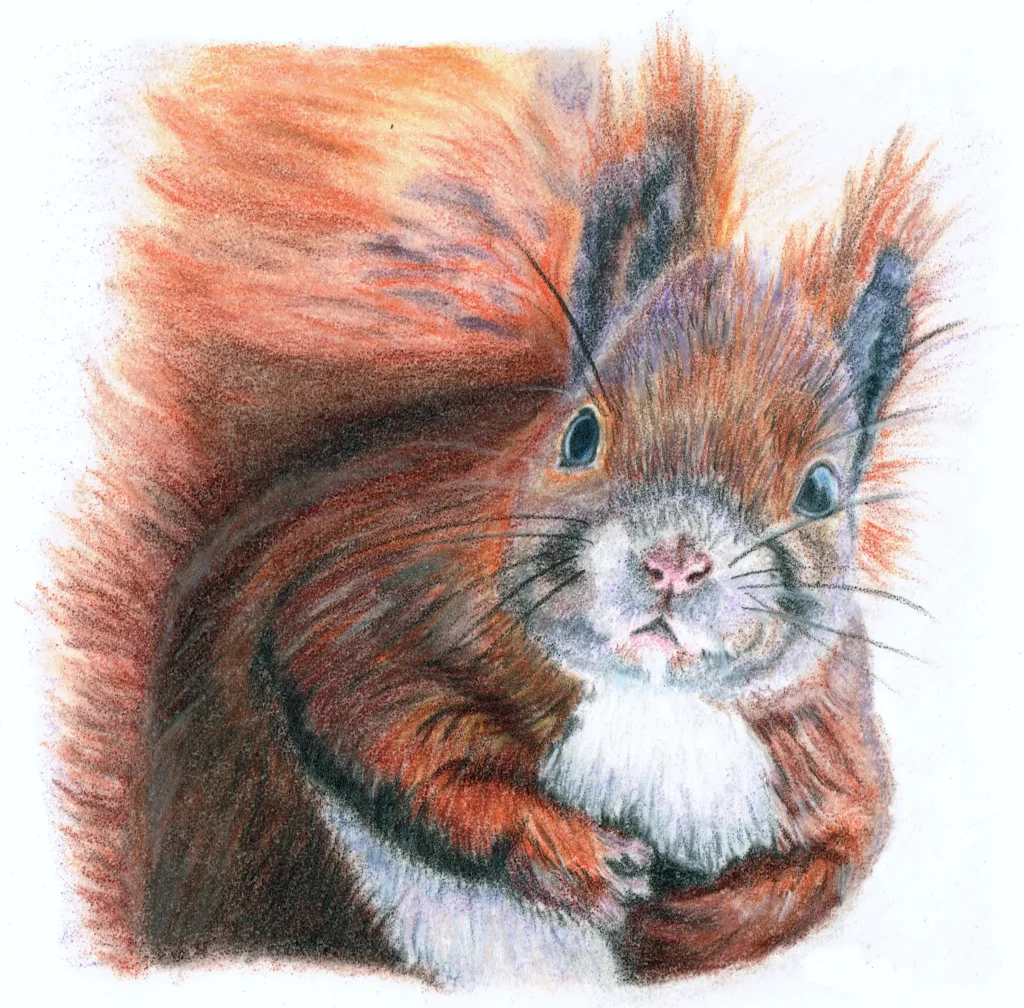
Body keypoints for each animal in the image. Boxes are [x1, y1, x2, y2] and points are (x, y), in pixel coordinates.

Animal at [46, 30, 949, 987]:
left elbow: (834, 858)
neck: (652, 700)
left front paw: (686, 927)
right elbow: (382, 722)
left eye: (821, 491)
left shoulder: (831, 756)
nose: (674, 562)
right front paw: (576, 853)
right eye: (580, 434)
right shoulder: (370, 597)